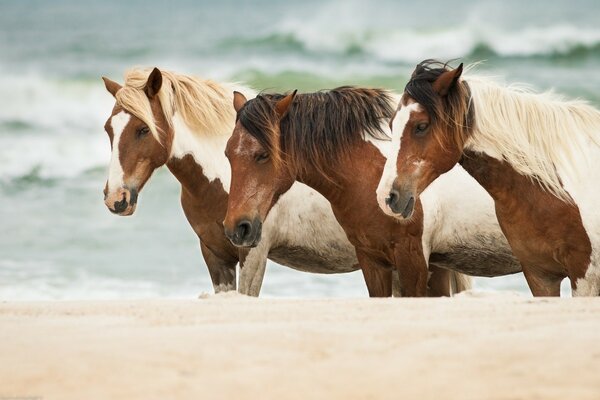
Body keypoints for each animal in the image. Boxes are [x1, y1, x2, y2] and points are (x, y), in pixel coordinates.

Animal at [101, 66, 466, 296]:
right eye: (108, 129)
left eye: (142, 129)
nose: (116, 198)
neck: (222, 179)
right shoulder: (215, 256)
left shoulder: (253, 254)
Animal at [223, 86, 516, 296]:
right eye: (228, 154)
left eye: (262, 155)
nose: (237, 227)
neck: (373, 174)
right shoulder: (372, 260)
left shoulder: (413, 260)